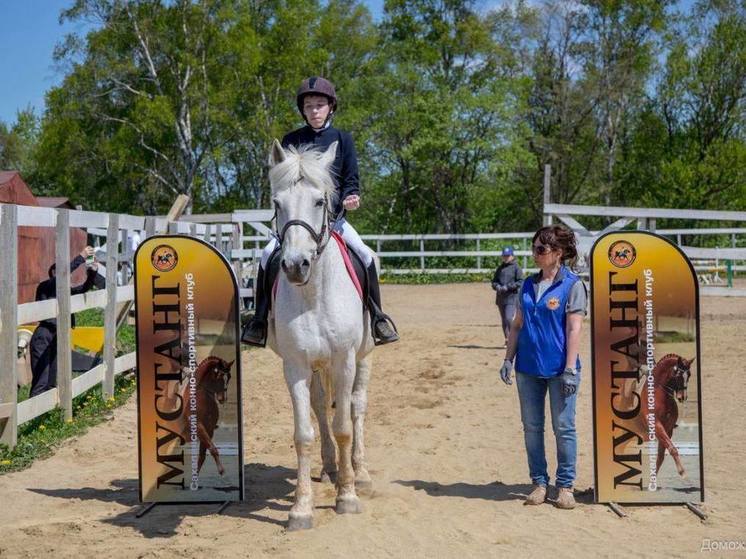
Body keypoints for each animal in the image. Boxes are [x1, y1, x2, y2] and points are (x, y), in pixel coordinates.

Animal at [266, 138, 372, 532]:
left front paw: (348, 496)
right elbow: (304, 433)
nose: (296, 266)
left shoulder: (344, 360)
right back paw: (330, 468)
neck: (313, 295)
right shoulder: (295, 366)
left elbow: (344, 426)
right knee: (320, 407)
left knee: (356, 407)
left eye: (319, 201)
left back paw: (360, 472)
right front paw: (301, 508)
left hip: (363, 359)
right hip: (315, 367)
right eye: (277, 203)